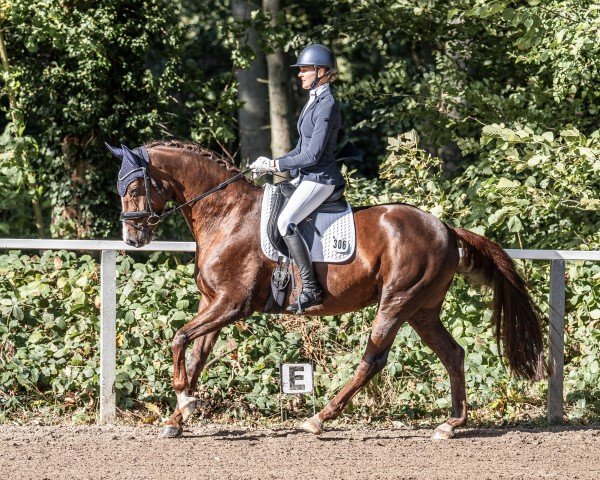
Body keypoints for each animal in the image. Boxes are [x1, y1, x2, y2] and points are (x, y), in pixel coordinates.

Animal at [105, 139, 548, 438]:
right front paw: (177, 418)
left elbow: (179, 338)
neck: (225, 214)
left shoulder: (232, 304)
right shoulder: (212, 302)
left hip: (397, 302)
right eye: (120, 189)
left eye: (134, 189)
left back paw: (319, 419)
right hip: (422, 310)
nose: (133, 239)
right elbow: (195, 354)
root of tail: (445, 228)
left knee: (373, 360)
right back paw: (451, 424)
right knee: (453, 354)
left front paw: (184, 398)